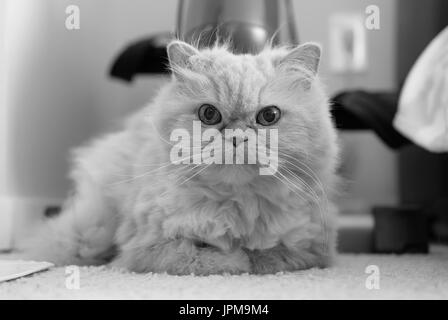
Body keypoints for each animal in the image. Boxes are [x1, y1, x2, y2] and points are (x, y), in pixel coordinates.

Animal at [19, 40, 338, 276]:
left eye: (269, 116)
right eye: (209, 114)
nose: (236, 137)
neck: (238, 206)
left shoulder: (314, 248)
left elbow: (274, 255)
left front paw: (252, 257)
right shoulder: (147, 248)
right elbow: (205, 259)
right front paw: (235, 259)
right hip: (91, 232)